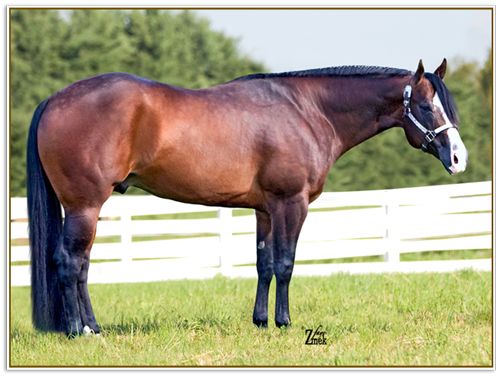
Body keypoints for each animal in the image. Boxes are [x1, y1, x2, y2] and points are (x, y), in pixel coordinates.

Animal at [26, 59, 464, 338]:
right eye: (425, 105)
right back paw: (77, 332)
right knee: (69, 262)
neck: (308, 111)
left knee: (82, 266)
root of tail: (54, 99)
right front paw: (284, 323)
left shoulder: (264, 209)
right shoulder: (291, 202)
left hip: (87, 209)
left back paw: (93, 327)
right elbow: (286, 263)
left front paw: (261, 322)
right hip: (84, 206)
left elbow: (264, 265)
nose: (459, 158)